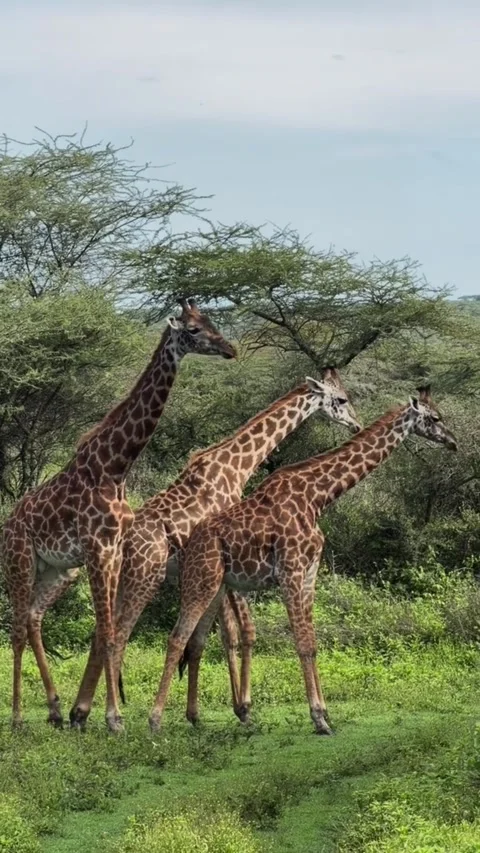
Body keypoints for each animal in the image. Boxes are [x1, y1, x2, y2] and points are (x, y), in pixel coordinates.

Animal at [2, 298, 236, 732]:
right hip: (19, 560)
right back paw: (17, 717)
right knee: (16, 629)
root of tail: (8, 522)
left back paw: (55, 709)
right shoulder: (97, 548)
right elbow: (109, 631)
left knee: (31, 617)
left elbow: (109, 631)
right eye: (193, 330)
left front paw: (109, 716)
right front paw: (112, 718)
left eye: (212, 320)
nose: (230, 349)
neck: (115, 467)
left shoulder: (111, 550)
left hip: (56, 570)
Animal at [69, 368, 361, 729]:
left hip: (122, 578)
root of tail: (122, 541)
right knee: (119, 634)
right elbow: (237, 632)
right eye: (342, 399)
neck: (238, 464)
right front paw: (242, 708)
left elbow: (212, 638)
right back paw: (111, 717)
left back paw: (80, 713)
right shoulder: (229, 559)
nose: (356, 424)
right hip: (145, 576)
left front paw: (207, 712)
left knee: (101, 632)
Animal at [149, 386, 457, 735]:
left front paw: (325, 713)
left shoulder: (310, 573)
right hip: (200, 581)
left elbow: (312, 640)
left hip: (215, 587)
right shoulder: (291, 571)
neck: (318, 497)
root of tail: (190, 543)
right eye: (435, 418)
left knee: (196, 640)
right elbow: (302, 643)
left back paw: (193, 717)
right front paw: (319, 719)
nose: (453, 442)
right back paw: (154, 721)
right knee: (177, 637)